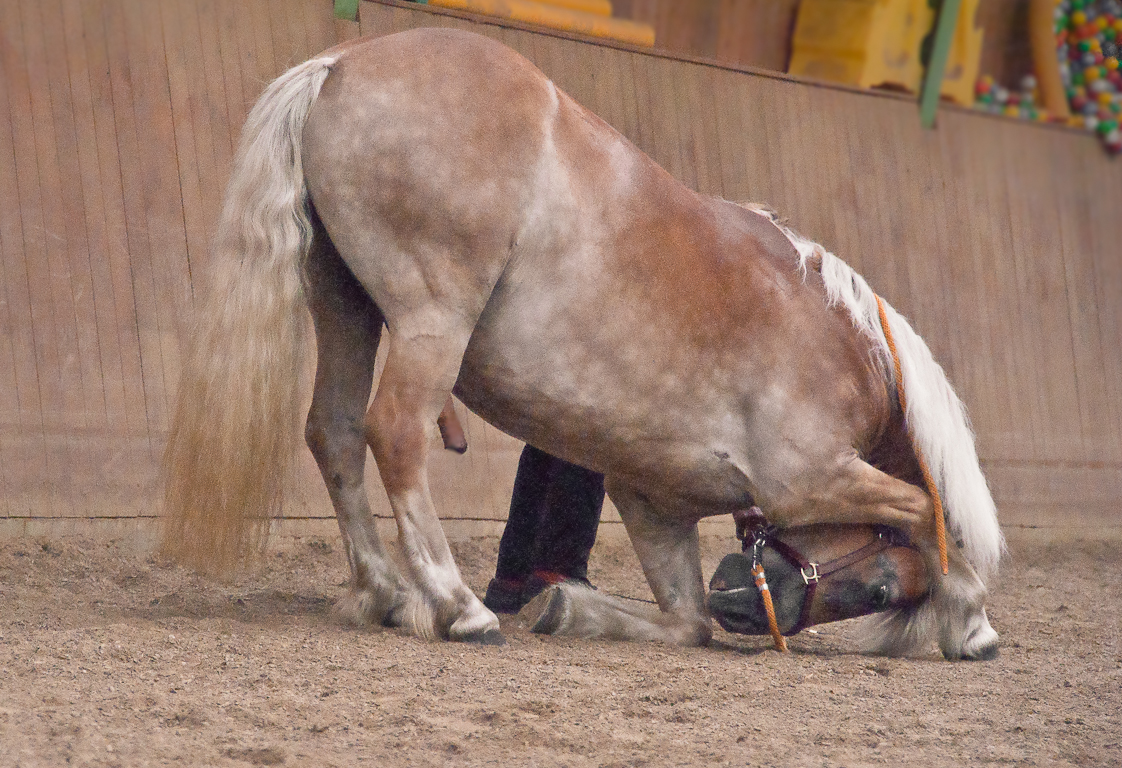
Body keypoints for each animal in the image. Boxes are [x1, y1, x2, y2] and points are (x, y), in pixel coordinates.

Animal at [158, 28, 1000, 660]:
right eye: (881, 588)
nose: (747, 607)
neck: (837, 339)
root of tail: (340, 64)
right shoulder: (810, 478)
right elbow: (930, 510)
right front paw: (972, 622)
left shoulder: (654, 504)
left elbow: (684, 622)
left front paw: (571, 608)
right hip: (431, 322)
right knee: (393, 432)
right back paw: (458, 606)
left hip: (346, 308)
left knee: (332, 433)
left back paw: (387, 595)